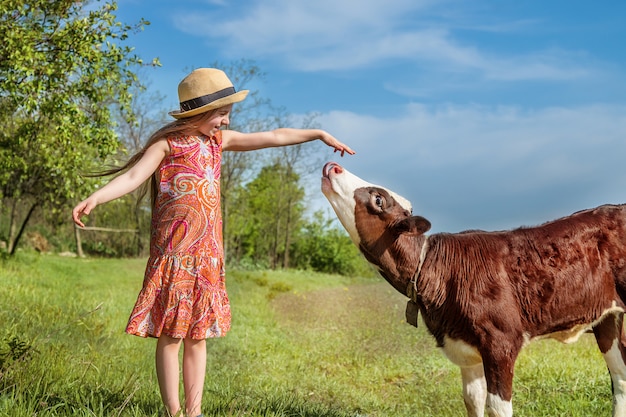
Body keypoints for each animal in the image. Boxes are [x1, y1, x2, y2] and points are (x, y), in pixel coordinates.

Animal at [322, 161, 626, 414]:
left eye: (378, 199)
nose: (333, 165)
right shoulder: (466, 349)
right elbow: (472, 399)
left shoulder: (501, 341)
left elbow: (497, 406)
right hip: (607, 318)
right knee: (621, 379)